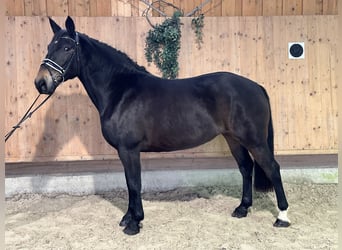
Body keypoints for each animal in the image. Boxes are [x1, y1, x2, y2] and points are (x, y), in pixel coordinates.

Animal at [34, 17, 292, 234]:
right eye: (48, 47)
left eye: (67, 48)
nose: (41, 83)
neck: (120, 91)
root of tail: (256, 86)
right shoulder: (125, 151)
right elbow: (129, 183)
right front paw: (128, 218)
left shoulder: (129, 149)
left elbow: (134, 183)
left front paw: (134, 223)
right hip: (233, 139)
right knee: (246, 168)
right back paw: (242, 209)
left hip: (254, 140)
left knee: (272, 168)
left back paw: (282, 217)